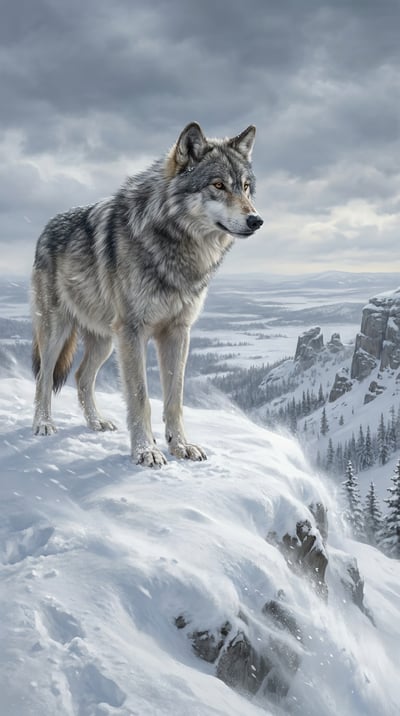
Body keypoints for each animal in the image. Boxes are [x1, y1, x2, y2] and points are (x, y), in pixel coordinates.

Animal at [31, 122, 263, 466]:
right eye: (219, 185)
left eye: (246, 187)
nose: (256, 220)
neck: (175, 245)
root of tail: (46, 227)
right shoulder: (133, 332)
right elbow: (141, 397)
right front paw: (146, 451)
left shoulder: (178, 332)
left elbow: (174, 398)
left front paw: (181, 446)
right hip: (58, 332)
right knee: (44, 377)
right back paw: (43, 424)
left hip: (105, 341)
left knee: (82, 377)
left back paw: (96, 422)